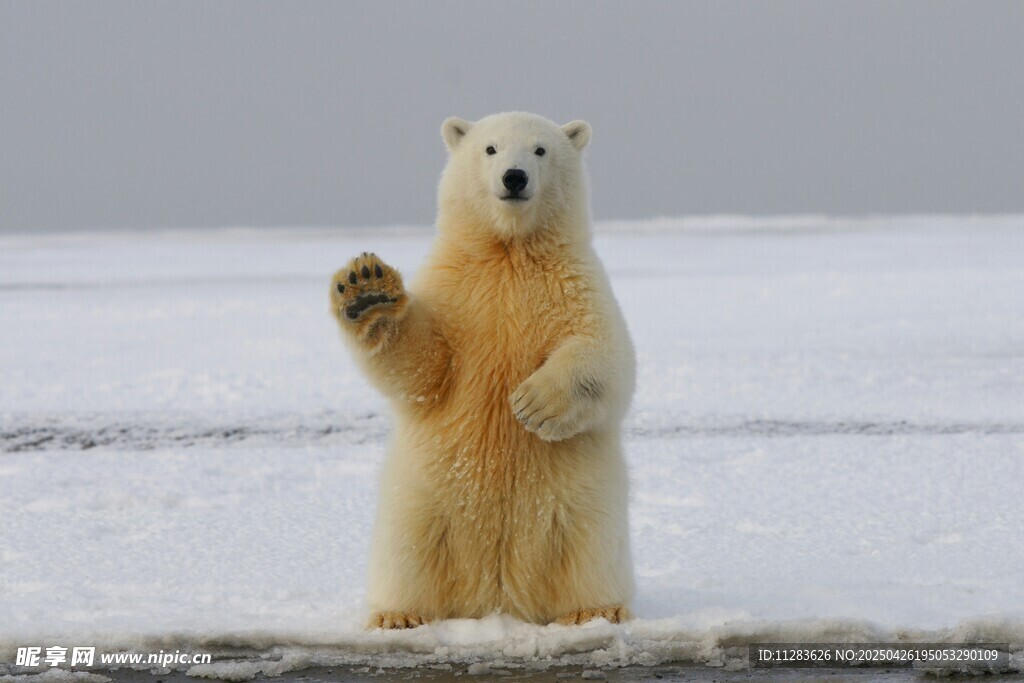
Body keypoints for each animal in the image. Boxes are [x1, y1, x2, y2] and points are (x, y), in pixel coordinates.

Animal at [329, 111, 635, 629]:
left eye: (540, 150)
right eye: (490, 149)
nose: (514, 177)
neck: (508, 251)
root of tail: (497, 597)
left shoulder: (576, 284)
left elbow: (607, 355)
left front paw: (533, 404)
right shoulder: (456, 291)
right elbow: (424, 367)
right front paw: (367, 290)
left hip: (582, 504)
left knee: (589, 549)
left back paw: (596, 610)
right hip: (422, 501)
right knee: (408, 551)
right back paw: (398, 615)